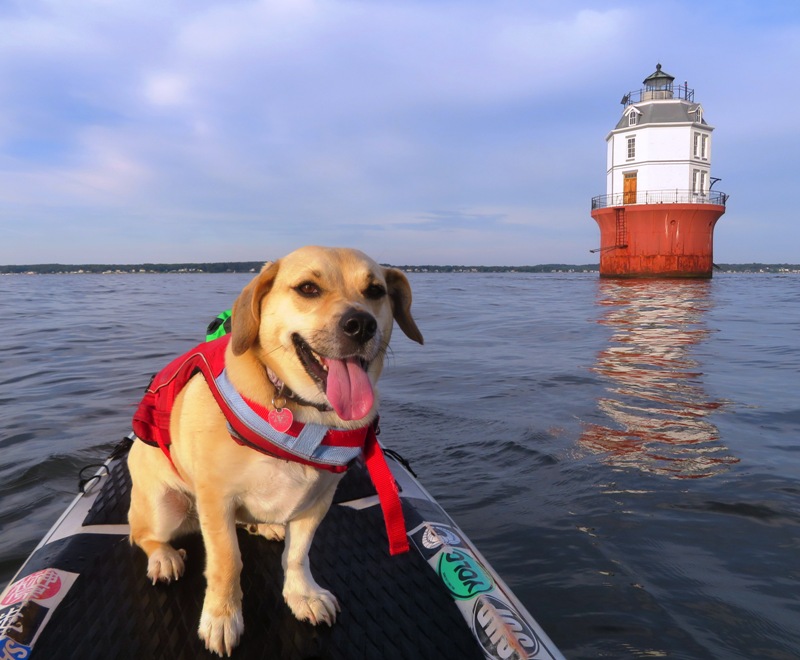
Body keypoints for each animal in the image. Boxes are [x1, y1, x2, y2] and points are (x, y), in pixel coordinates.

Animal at [126, 246, 424, 656]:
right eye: (308, 288)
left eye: (375, 291)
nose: (361, 325)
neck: (305, 410)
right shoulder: (216, 499)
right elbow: (227, 562)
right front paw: (222, 617)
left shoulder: (317, 501)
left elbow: (298, 555)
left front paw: (303, 595)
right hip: (163, 506)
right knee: (141, 535)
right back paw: (165, 557)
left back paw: (262, 525)